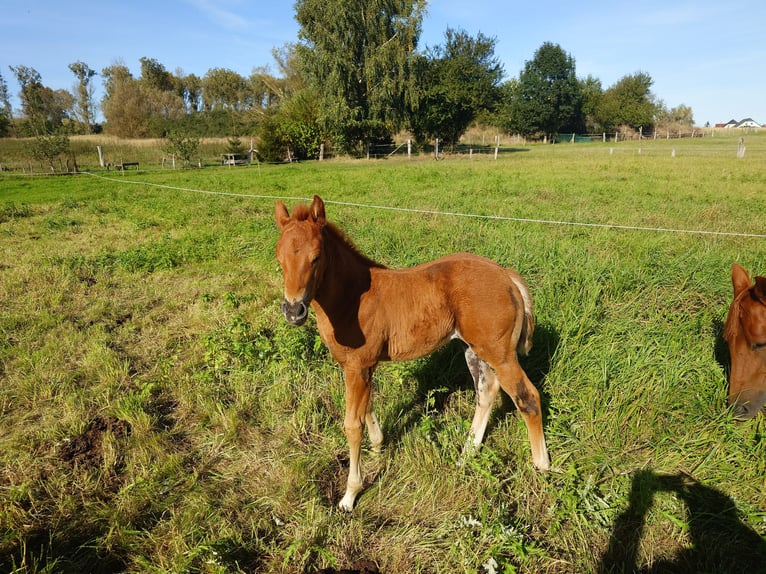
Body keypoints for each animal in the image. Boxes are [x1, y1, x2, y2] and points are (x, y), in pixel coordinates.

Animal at [274, 195, 550, 511]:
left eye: (316, 257)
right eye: (279, 258)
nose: (293, 311)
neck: (351, 298)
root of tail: (506, 276)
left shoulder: (358, 365)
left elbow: (352, 425)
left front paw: (350, 494)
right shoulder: (359, 367)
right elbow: (367, 407)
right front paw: (378, 447)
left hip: (500, 354)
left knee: (527, 397)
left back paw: (542, 466)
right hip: (474, 350)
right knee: (487, 391)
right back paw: (465, 456)